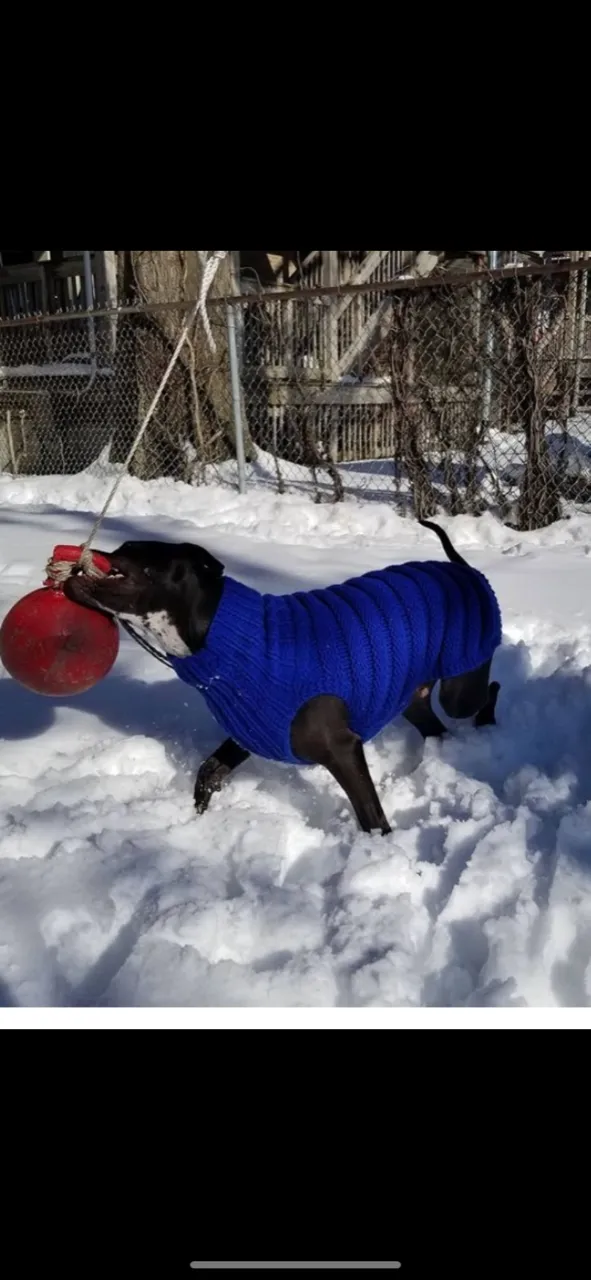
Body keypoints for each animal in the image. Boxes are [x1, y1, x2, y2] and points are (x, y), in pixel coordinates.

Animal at [63, 522, 498, 839]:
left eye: (134, 550)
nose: (92, 552)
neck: (222, 638)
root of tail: (463, 568)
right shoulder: (251, 731)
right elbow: (206, 775)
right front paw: (197, 824)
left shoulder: (341, 749)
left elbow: (372, 817)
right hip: (412, 697)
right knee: (436, 727)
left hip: (462, 685)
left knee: (487, 693)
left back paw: (487, 726)